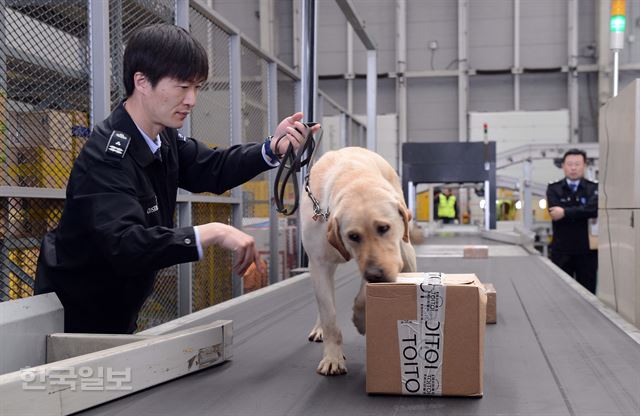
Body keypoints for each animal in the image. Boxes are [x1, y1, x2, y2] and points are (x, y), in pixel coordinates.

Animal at [302, 148, 418, 376]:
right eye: (353, 236)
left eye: (384, 228)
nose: (375, 274)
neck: (353, 178)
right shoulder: (319, 265)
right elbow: (329, 317)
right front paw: (333, 358)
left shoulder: (386, 263)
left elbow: (363, 297)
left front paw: (361, 320)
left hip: (407, 254)